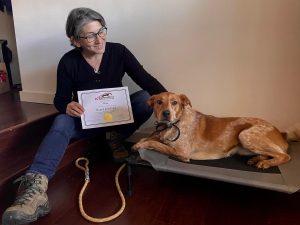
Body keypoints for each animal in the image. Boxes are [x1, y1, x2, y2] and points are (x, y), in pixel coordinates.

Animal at [132, 92, 300, 169]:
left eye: (174, 102)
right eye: (159, 102)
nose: (166, 113)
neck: (173, 125)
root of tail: (281, 133)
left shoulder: (182, 153)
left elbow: (155, 144)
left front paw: (139, 145)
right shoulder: (162, 136)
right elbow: (153, 138)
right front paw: (142, 140)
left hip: (245, 134)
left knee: (284, 155)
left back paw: (265, 163)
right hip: (245, 146)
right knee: (272, 153)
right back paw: (257, 159)